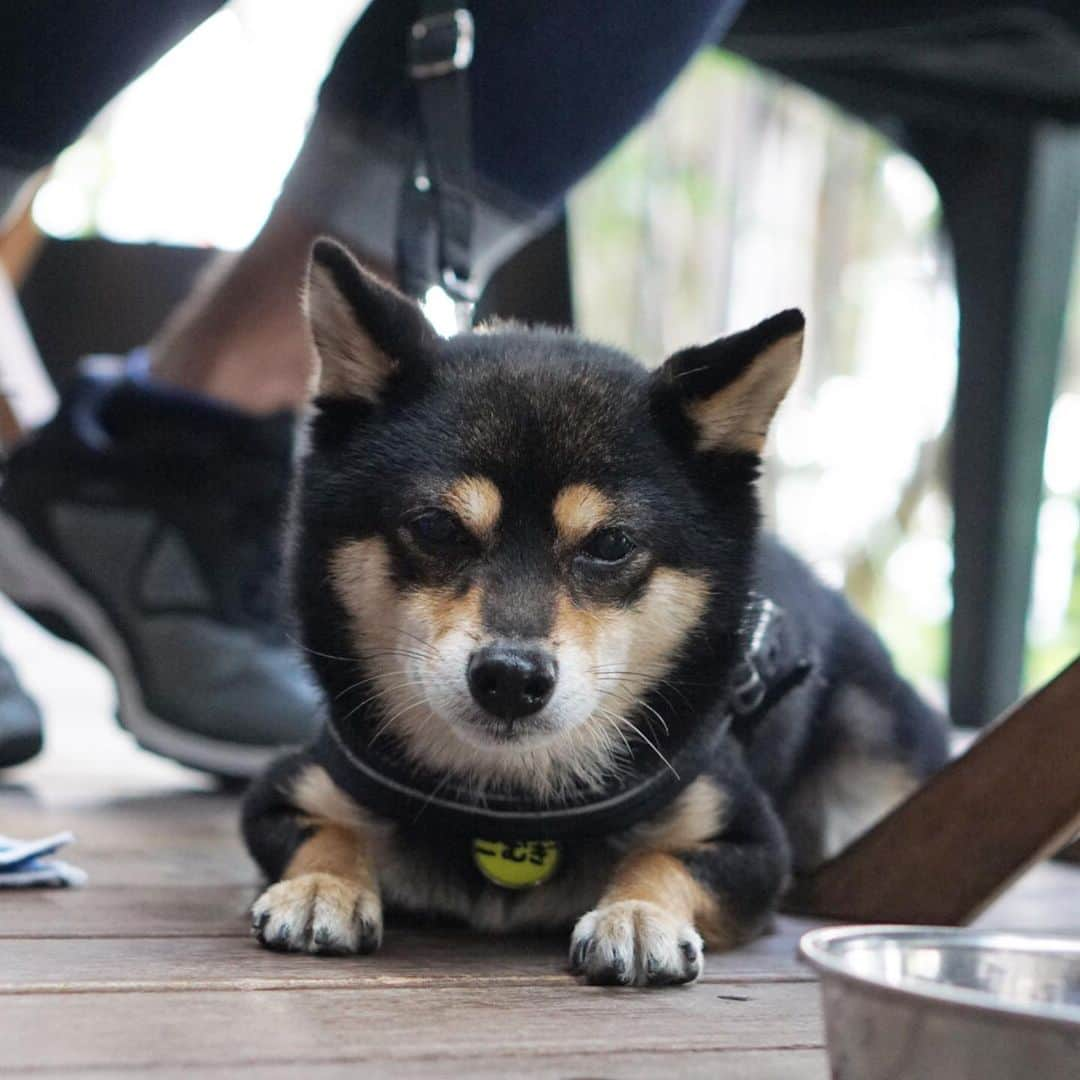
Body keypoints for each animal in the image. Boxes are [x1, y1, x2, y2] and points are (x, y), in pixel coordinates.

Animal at [243, 243, 946, 989]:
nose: (510, 678)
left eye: (610, 544)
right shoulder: (286, 789)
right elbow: (329, 829)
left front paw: (637, 914)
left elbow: (661, 856)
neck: (514, 807)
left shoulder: (751, 843)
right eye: (435, 527)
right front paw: (323, 886)